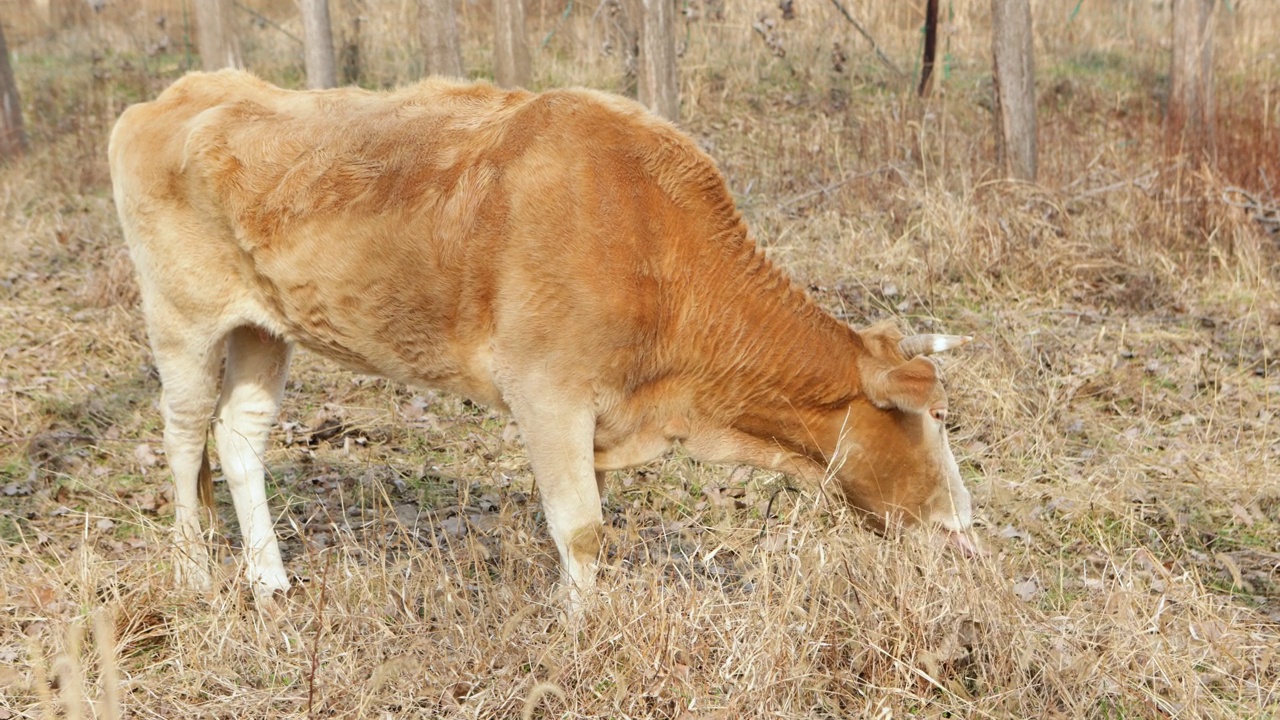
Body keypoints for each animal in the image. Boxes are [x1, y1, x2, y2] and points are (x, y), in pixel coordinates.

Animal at [110, 70, 972, 602]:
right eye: (935, 420)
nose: (967, 531)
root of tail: (188, 90)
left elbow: (589, 522)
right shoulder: (547, 391)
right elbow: (580, 527)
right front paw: (585, 632)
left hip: (265, 327)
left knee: (239, 435)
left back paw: (270, 581)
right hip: (181, 320)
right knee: (184, 435)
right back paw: (194, 574)